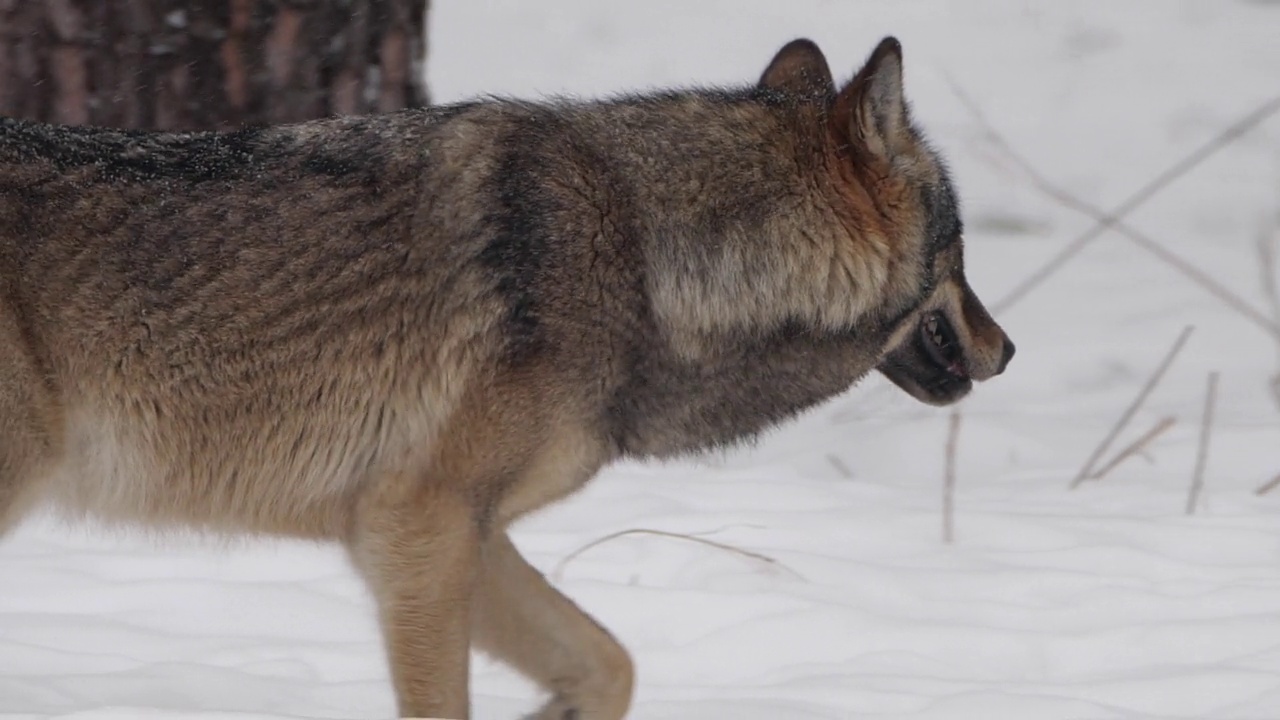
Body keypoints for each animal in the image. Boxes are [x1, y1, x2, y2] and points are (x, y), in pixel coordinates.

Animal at [2, 37, 1018, 717]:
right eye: (961, 251)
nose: (1009, 350)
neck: (647, 260)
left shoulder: (452, 534)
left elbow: (610, 662)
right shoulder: (420, 529)